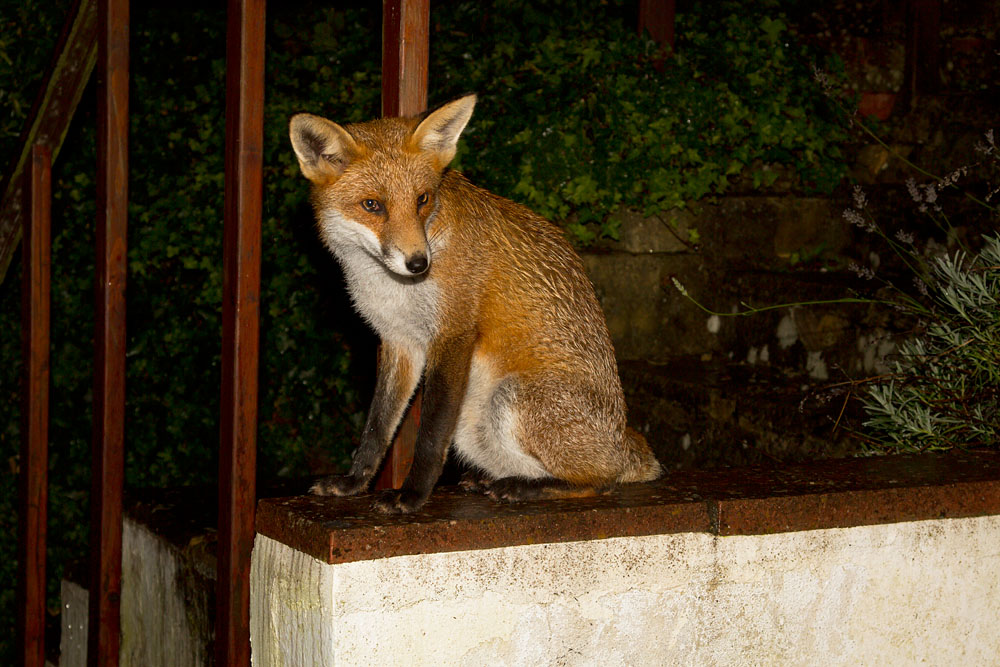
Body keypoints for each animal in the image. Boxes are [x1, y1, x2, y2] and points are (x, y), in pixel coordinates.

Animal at [289, 94, 661, 514]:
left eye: (422, 200)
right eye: (372, 205)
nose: (419, 263)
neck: (390, 287)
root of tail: (626, 440)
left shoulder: (453, 333)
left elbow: (430, 434)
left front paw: (412, 496)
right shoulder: (400, 342)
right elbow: (377, 428)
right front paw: (354, 482)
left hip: (511, 397)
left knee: (601, 481)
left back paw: (527, 488)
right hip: (472, 424)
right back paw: (494, 480)